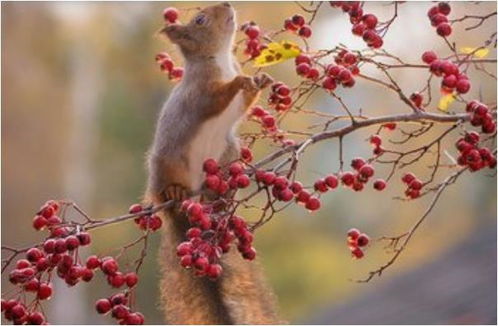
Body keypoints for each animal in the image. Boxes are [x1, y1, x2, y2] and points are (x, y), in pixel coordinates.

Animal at [145, 1, 280, 324]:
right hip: (167, 164)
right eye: (200, 20)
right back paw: (173, 192)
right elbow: (217, 98)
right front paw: (240, 82)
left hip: (228, 151)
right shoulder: (201, 93)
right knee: (164, 189)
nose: (227, 4)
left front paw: (260, 81)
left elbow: (244, 103)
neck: (220, 58)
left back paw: (221, 193)